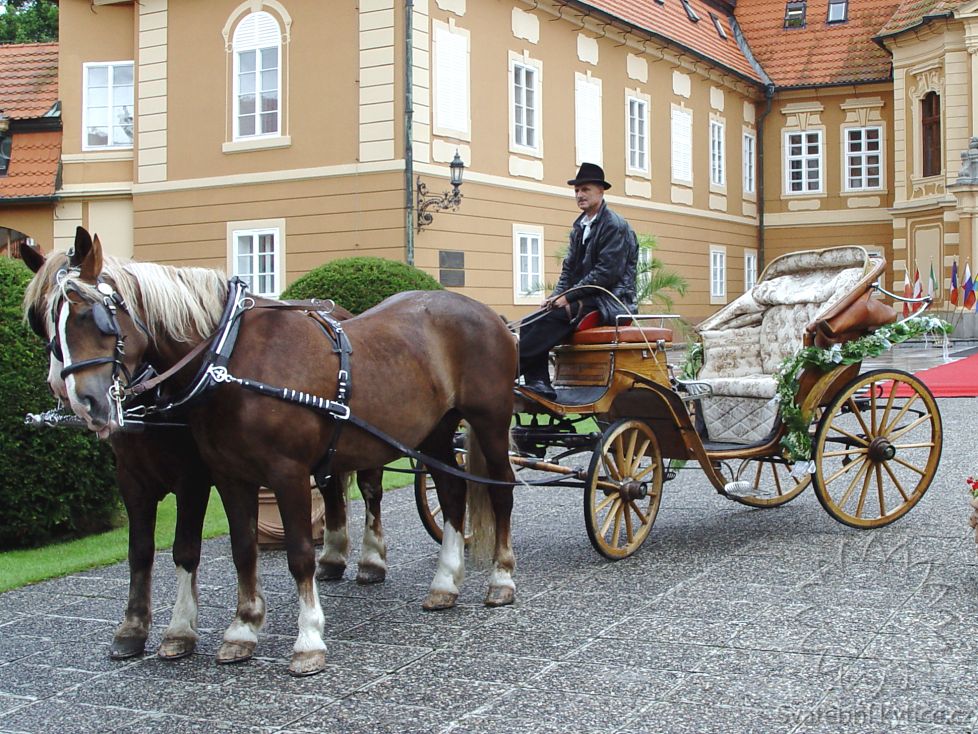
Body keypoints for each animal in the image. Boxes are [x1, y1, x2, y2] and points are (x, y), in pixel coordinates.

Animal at [22, 227, 516, 676]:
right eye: (43, 321)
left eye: (93, 317)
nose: (81, 401)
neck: (228, 357)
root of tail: (485, 313)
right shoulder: (225, 476)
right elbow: (239, 549)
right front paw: (242, 629)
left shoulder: (279, 473)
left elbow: (295, 554)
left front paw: (308, 639)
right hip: (434, 431)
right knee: (450, 492)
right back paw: (444, 583)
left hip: (490, 424)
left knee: (500, 492)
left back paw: (500, 578)